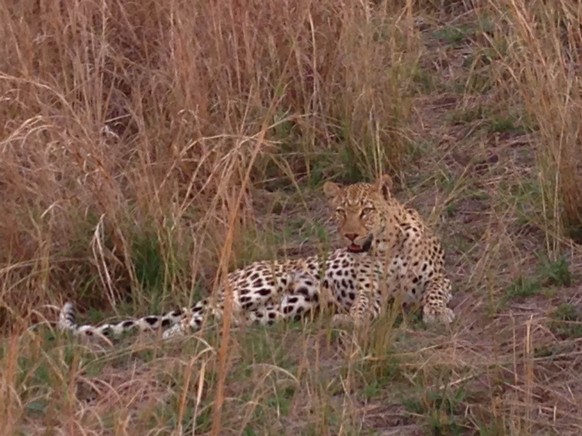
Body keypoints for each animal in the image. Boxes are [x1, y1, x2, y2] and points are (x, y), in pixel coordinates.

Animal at [58, 174, 456, 340]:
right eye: (341, 212)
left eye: (367, 211)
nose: (351, 235)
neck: (389, 246)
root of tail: (232, 274)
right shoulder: (370, 291)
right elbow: (363, 307)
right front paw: (351, 320)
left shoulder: (441, 276)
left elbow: (435, 291)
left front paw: (437, 313)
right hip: (257, 288)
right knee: (190, 319)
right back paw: (176, 337)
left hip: (292, 305)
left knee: (235, 319)